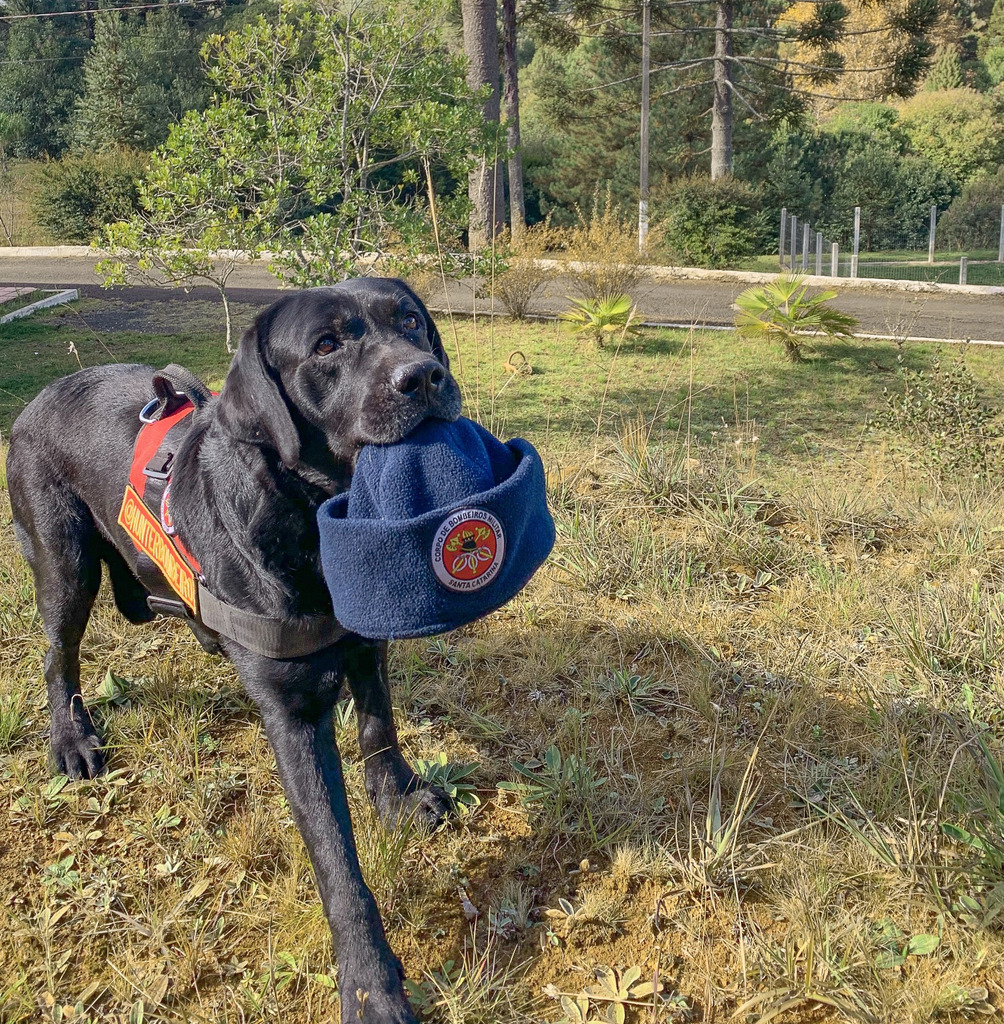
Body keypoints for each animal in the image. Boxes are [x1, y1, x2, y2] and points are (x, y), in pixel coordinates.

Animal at [8, 278, 463, 1024]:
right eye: (326, 345)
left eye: (412, 322)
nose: (423, 376)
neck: (312, 518)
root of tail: (40, 395)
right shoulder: (292, 716)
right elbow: (337, 863)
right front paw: (371, 984)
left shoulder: (364, 639)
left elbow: (378, 726)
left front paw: (397, 796)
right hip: (63, 562)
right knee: (57, 657)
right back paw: (71, 739)